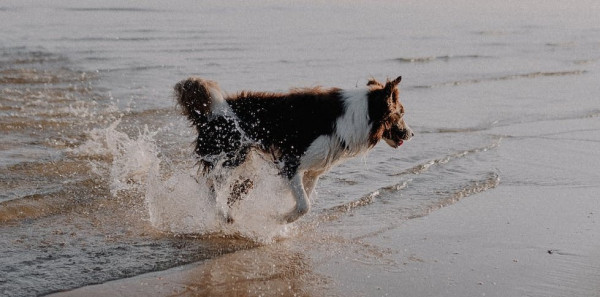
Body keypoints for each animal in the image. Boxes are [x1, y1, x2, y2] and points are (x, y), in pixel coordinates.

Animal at [173, 75, 412, 222]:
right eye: (400, 113)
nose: (411, 134)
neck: (361, 113)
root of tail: (213, 111)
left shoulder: (314, 170)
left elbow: (302, 201)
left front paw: (281, 217)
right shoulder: (291, 161)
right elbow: (304, 205)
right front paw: (279, 219)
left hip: (245, 168)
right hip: (231, 158)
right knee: (212, 188)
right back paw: (223, 215)